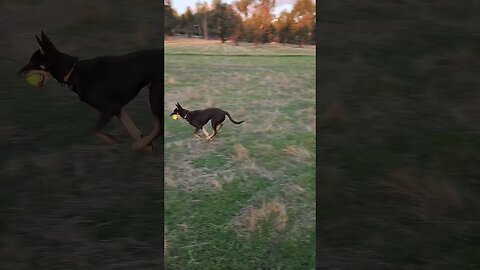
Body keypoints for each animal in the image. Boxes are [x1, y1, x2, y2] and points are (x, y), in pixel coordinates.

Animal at [17, 31, 162, 152]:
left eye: (33, 63)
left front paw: (112, 140)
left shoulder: (110, 108)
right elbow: (132, 129)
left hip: (154, 96)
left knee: (159, 127)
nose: (18, 73)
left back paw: (138, 145)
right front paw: (147, 146)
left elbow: (95, 130)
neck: (73, 72)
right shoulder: (118, 108)